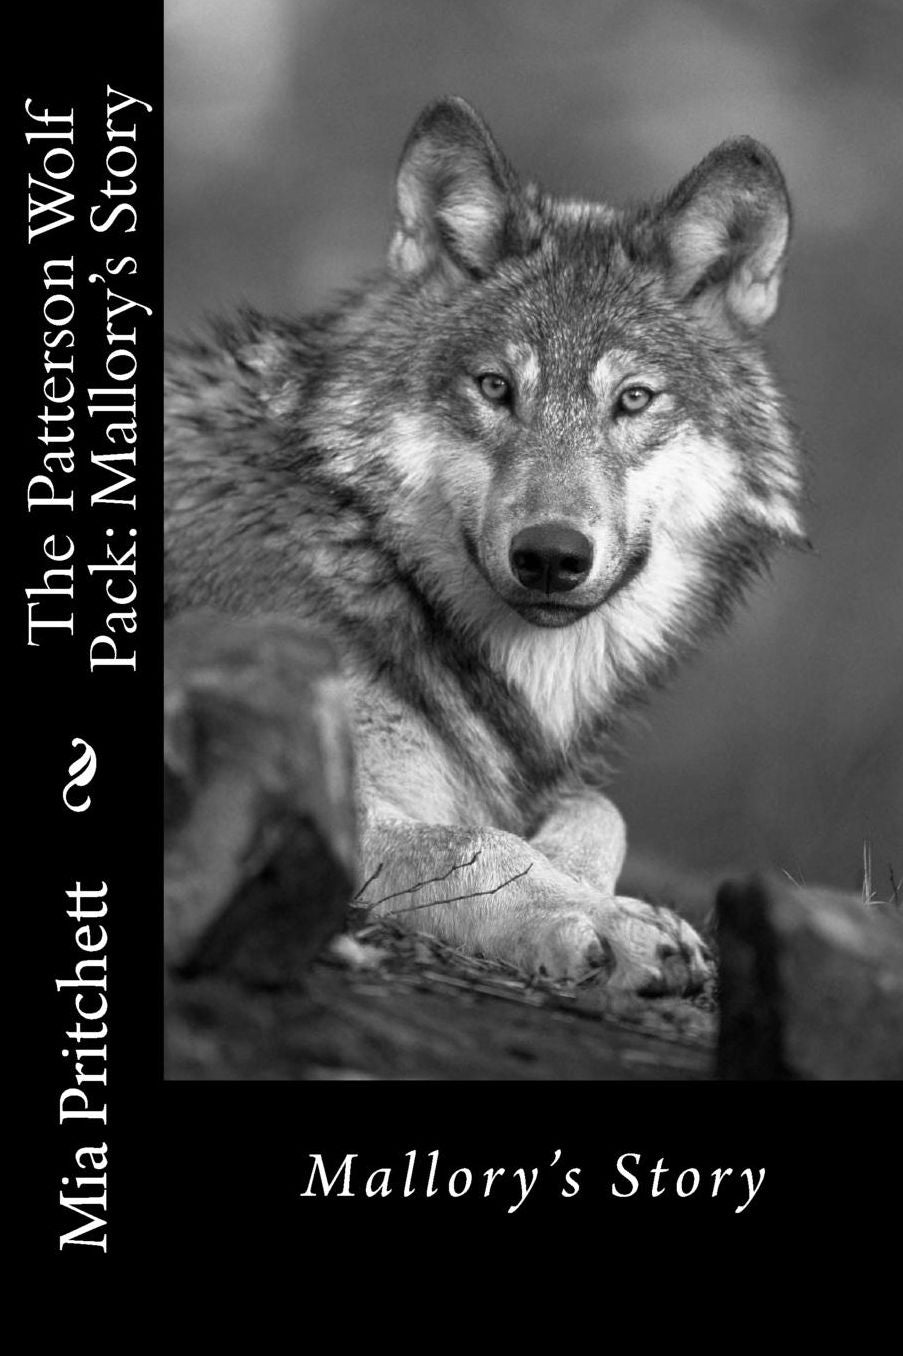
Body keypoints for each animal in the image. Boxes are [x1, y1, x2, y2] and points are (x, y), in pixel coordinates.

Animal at [165, 96, 805, 995]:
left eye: (632, 399)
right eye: (496, 388)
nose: (550, 555)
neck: (367, 550)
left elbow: (598, 810)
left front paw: (608, 901)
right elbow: (476, 842)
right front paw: (599, 921)